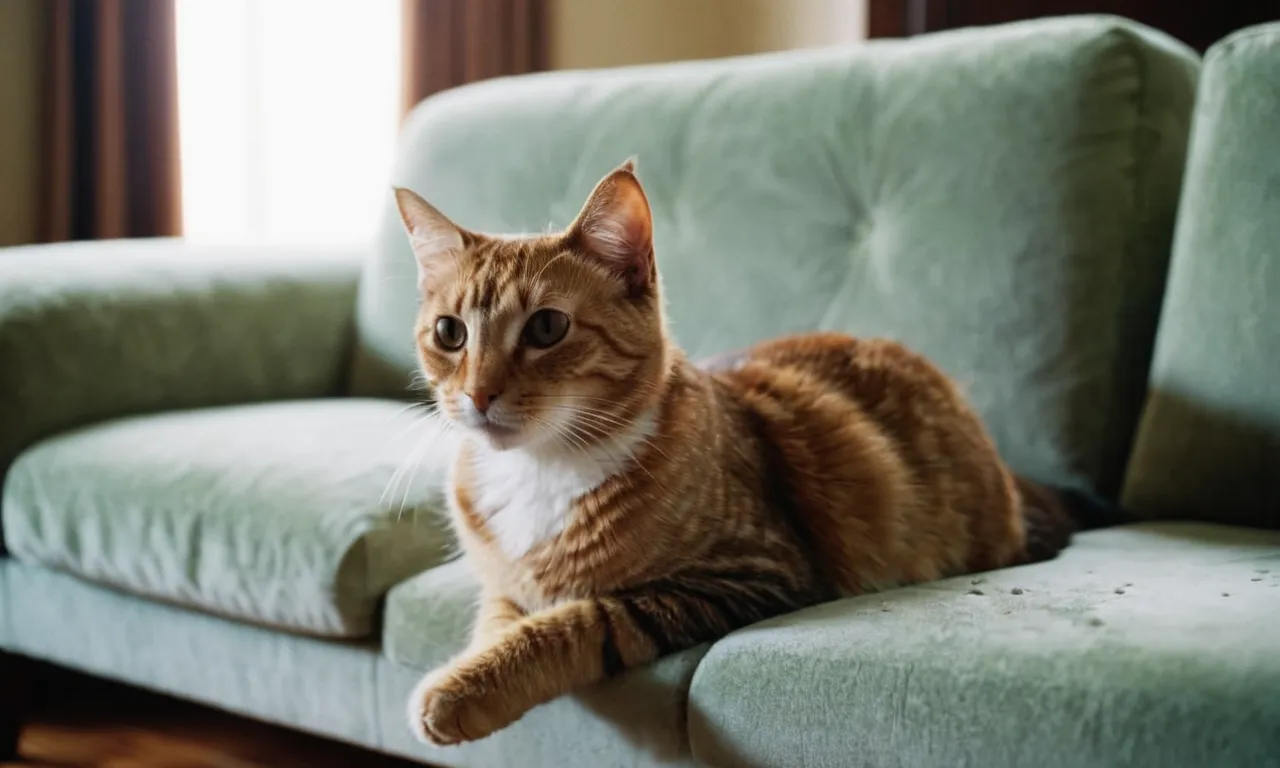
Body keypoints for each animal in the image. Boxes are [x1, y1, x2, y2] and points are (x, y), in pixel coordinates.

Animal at [389, 160, 1090, 742]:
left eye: (547, 327)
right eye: (449, 334)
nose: (478, 395)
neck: (543, 469)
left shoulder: (750, 575)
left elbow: (580, 621)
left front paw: (459, 694)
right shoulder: (506, 583)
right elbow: (502, 618)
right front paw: (473, 669)